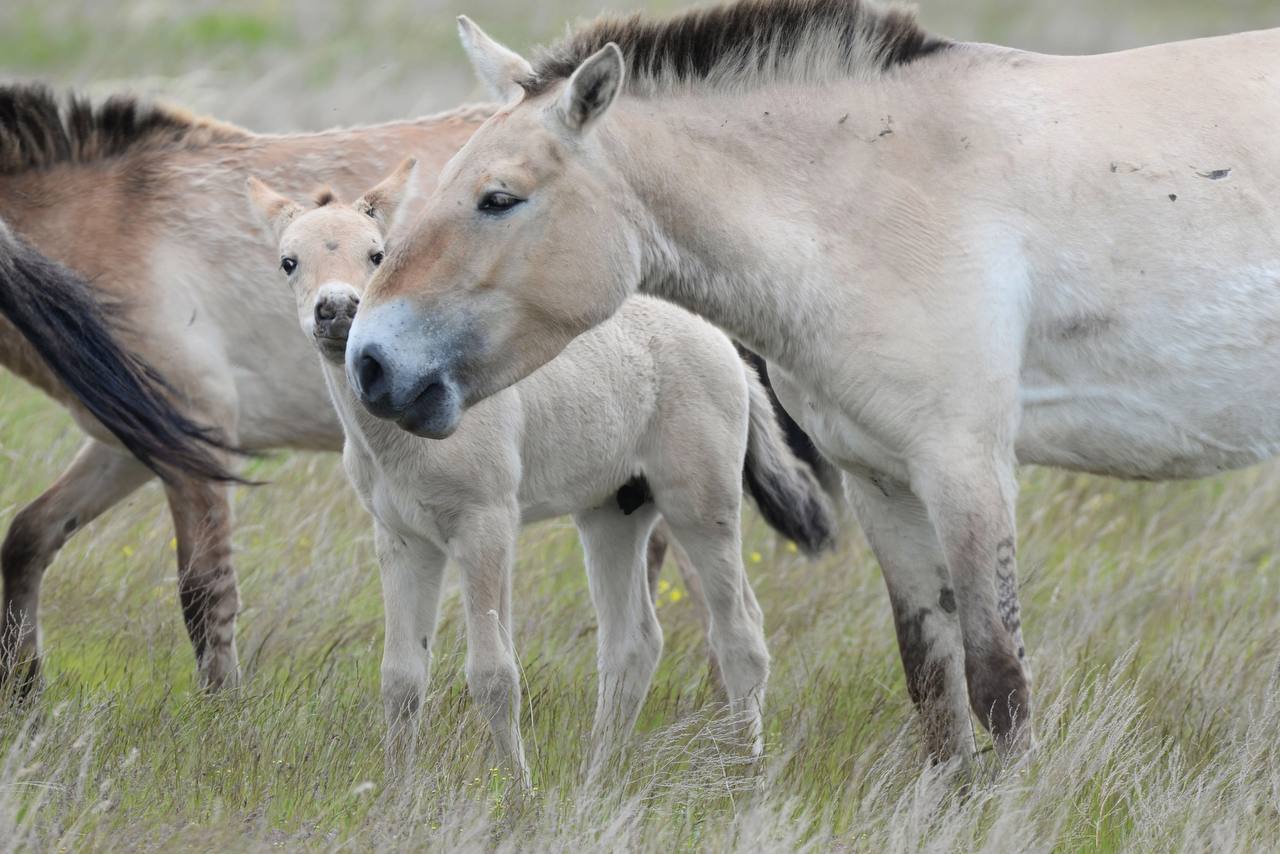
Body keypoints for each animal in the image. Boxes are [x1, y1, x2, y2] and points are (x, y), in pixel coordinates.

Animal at [248, 163, 834, 783]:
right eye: (289, 261)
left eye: (376, 254)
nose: (337, 310)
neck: (399, 436)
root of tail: (728, 347)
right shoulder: (403, 539)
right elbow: (402, 679)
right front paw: (397, 794)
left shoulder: (486, 525)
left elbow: (493, 675)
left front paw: (517, 793)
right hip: (613, 512)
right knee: (633, 643)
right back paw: (595, 782)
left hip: (701, 503)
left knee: (740, 635)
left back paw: (746, 776)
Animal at [345, 0, 1280, 763]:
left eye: (499, 198)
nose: (371, 362)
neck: (885, 191)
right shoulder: (882, 480)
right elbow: (933, 684)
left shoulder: (967, 470)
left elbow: (998, 682)